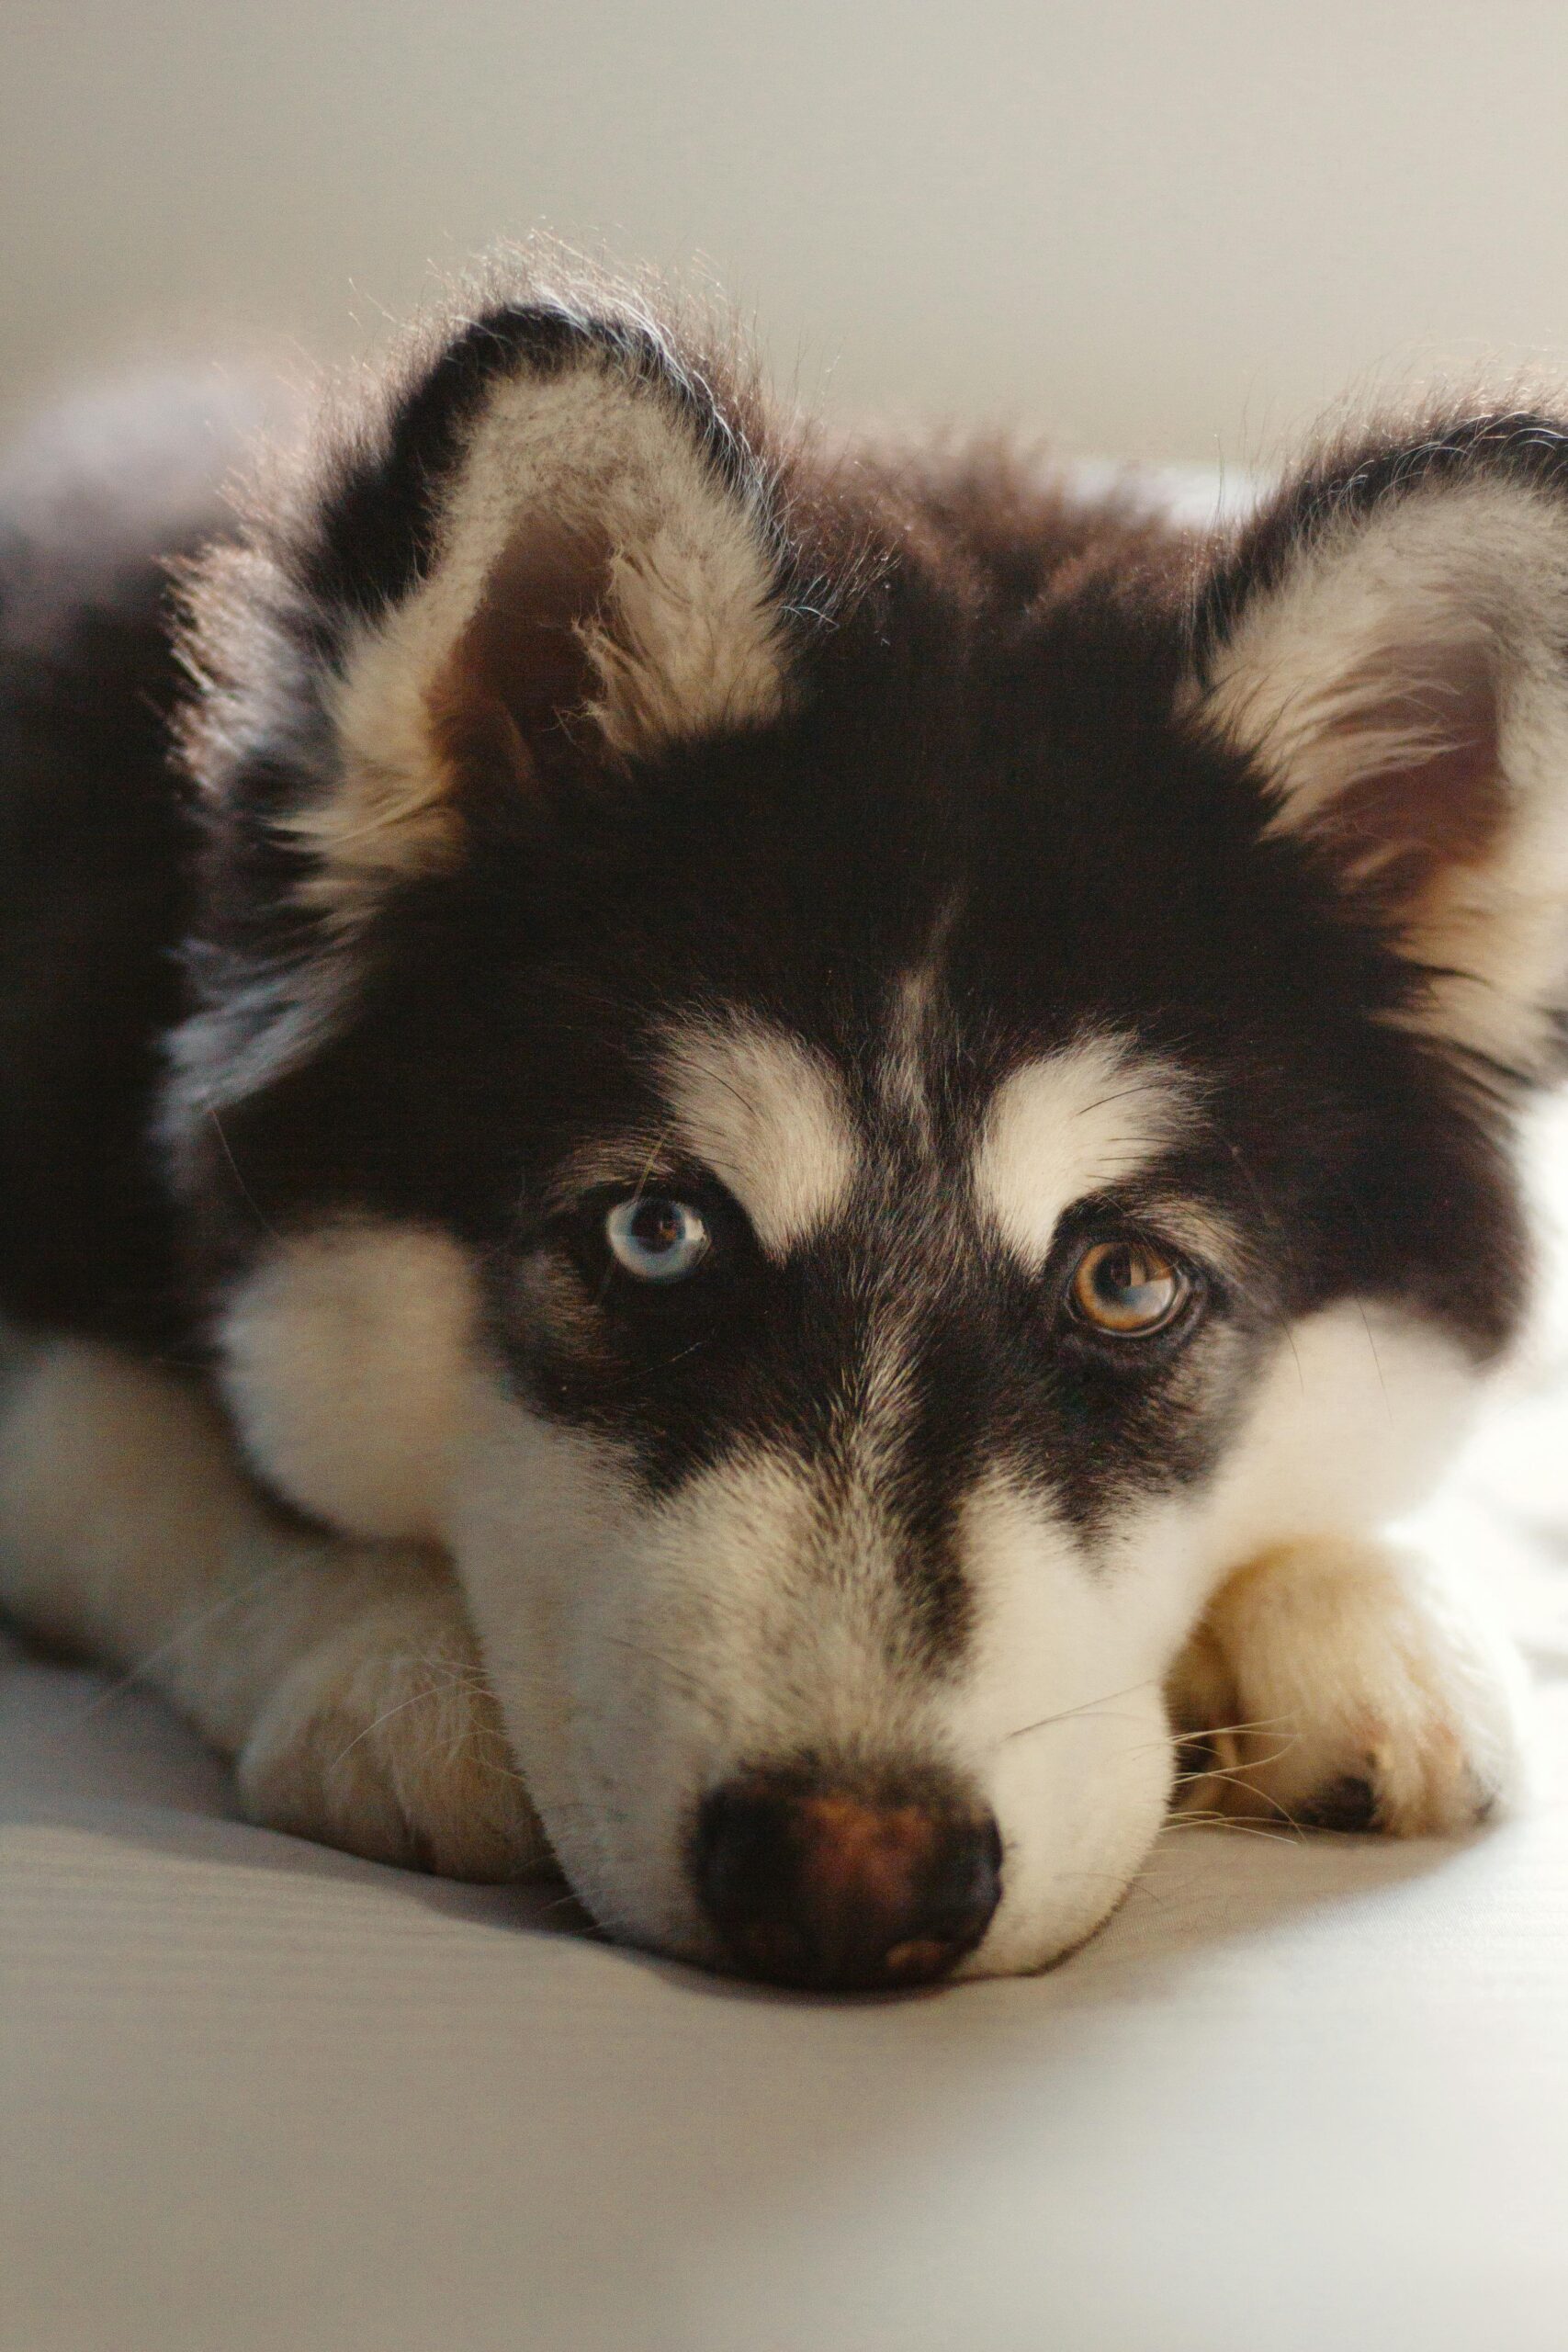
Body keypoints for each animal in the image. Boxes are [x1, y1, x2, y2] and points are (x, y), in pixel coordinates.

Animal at [0, 266, 1551, 1994]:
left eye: (1128, 1284)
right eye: (654, 1234)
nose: (850, 1879)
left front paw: (1369, 1606)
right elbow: (138, 1461)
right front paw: (384, 1652)